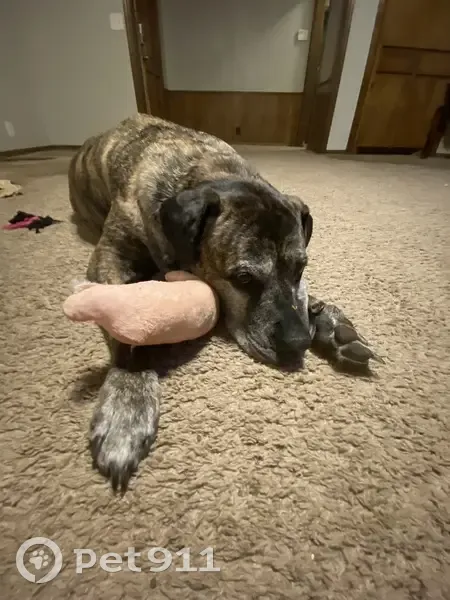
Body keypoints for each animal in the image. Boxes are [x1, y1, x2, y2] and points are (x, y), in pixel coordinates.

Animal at [69, 114, 359, 491]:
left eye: (300, 268)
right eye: (244, 279)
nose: (298, 343)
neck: (206, 173)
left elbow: (303, 297)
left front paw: (330, 323)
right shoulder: (109, 259)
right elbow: (131, 331)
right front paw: (126, 407)